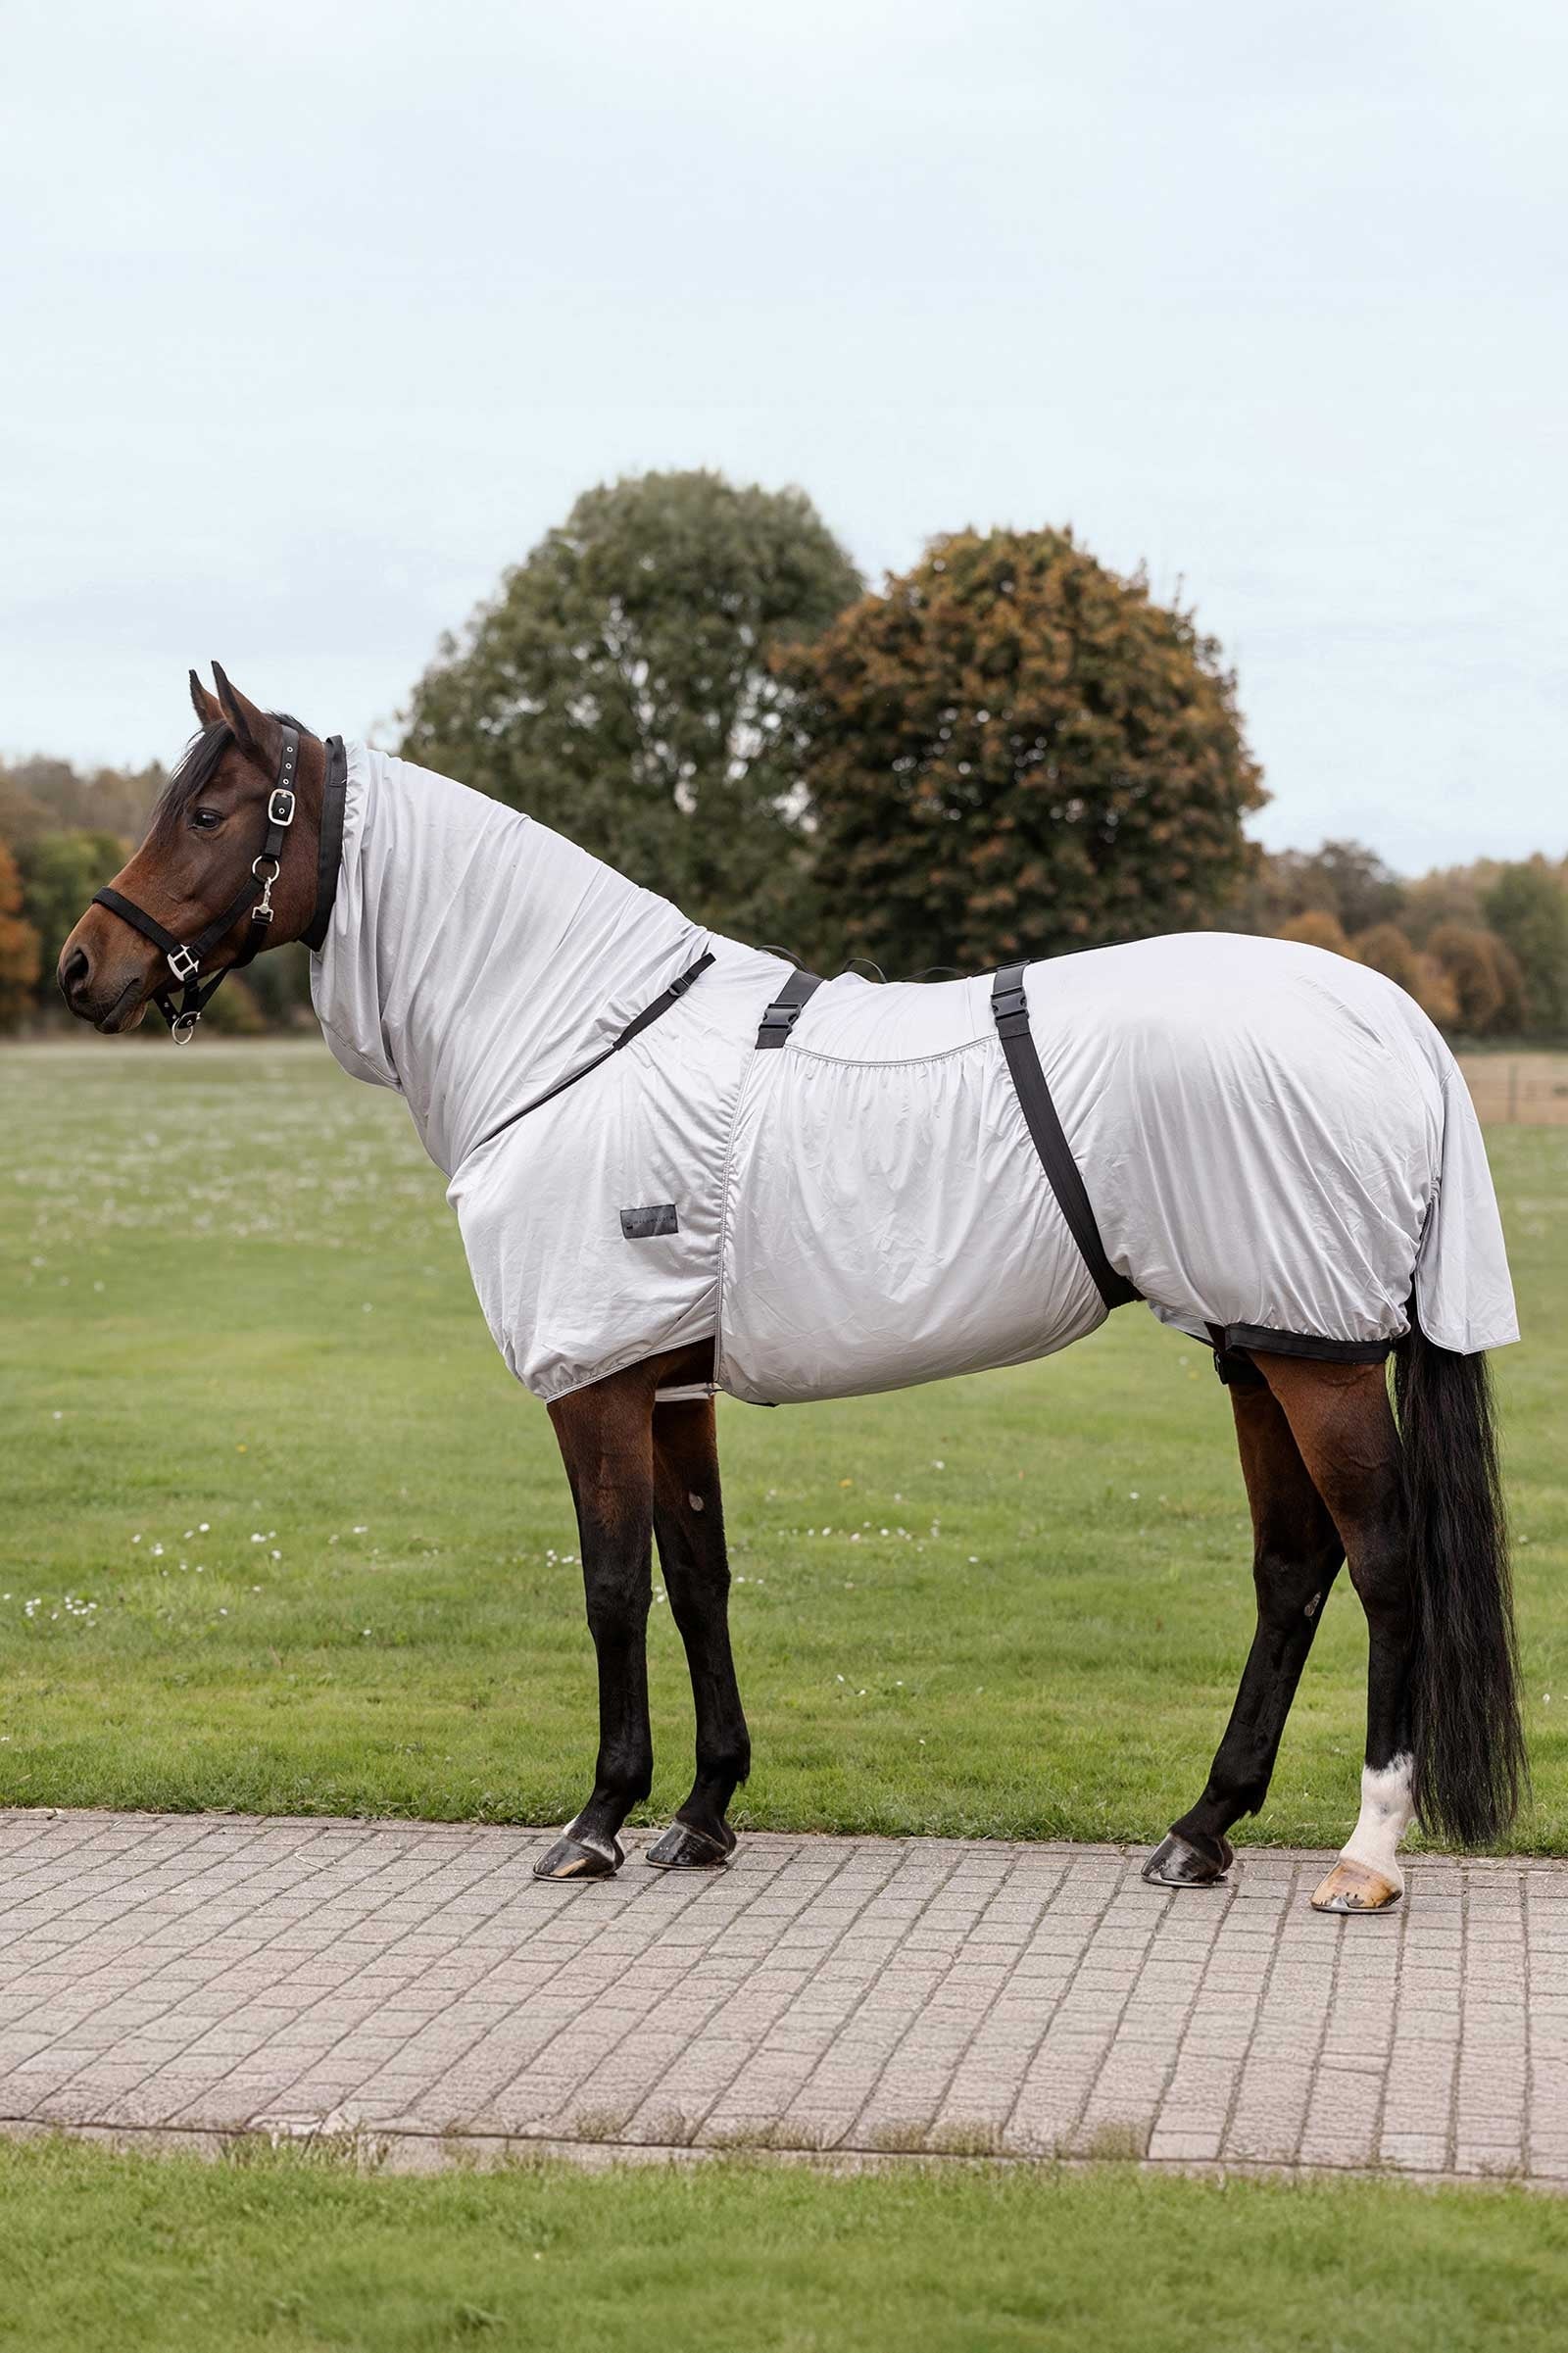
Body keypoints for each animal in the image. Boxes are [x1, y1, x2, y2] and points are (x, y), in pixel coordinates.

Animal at [58, 667, 1526, 1914]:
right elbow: (697, 1573)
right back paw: (1200, 1829)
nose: (81, 968)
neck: (578, 1037)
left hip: (1317, 1356)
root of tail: (1391, 1014)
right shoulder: (669, 1377)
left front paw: (596, 1820)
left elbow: (612, 1586)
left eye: (207, 812)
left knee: (1384, 1565)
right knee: (1293, 1567)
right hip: (1258, 1341)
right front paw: (703, 1812)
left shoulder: (594, 1381)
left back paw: (1364, 1855)